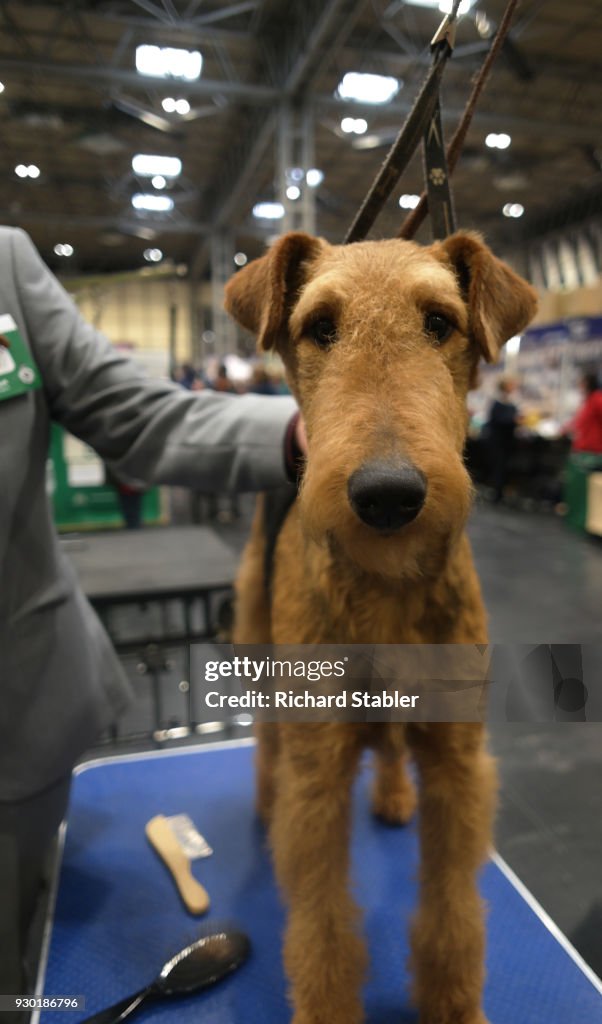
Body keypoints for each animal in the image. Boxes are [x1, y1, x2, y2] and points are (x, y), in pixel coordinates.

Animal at [224, 234, 536, 1024]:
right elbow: (323, 924)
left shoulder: (457, 762)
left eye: (440, 321)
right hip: (256, 648)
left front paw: (454, 1005)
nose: (388, 494)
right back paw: (263, 805)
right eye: (319, 327)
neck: (388, 587)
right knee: (266, 744)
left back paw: (395, 795)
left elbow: (452, 911)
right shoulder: (318, 773)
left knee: (391, 748)